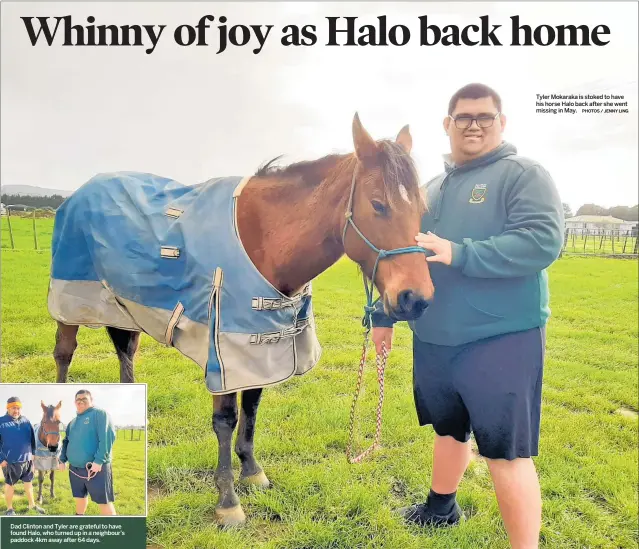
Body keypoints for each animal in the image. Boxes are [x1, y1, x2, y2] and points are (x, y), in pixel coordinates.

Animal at [53, 113, 436, 524]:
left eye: (421, 210)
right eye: (378, 204)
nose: (416, 299)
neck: (263, 238)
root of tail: (80, 193)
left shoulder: (263, 348)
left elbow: (251, 408)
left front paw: (252, 472)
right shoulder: (223, 352)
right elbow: (226, 420)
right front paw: (228, 501)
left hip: (123, 310)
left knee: (126, 354)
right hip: (69, 306)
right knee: (64, 353)